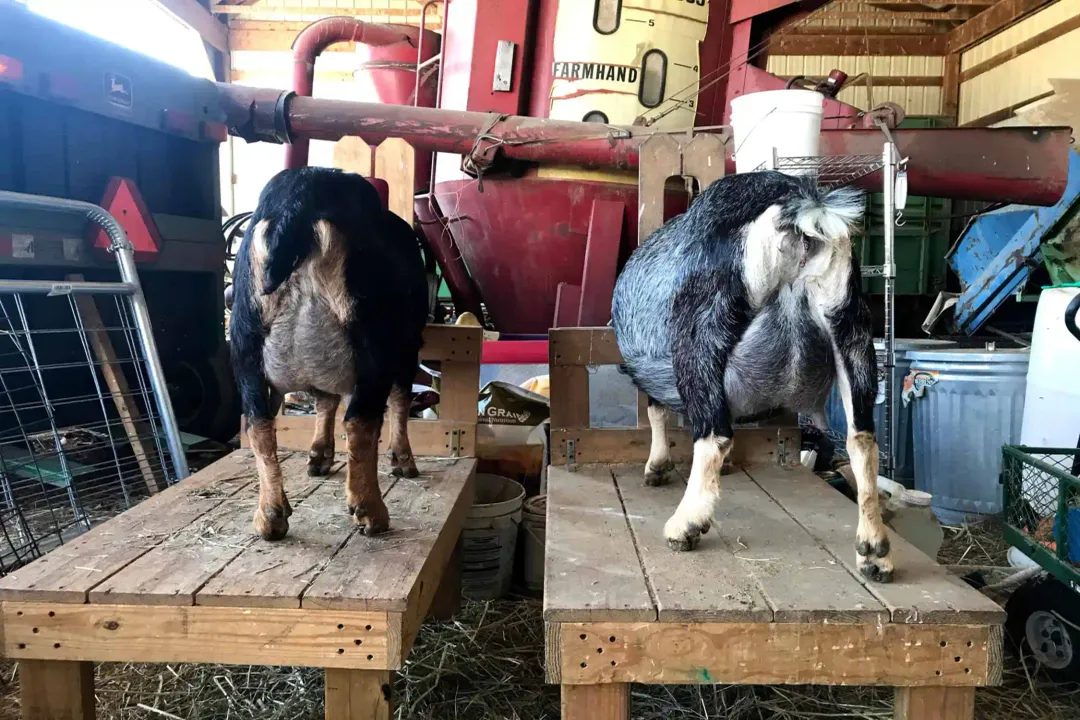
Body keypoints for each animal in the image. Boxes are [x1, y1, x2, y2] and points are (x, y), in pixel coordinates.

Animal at [229, 167, 429, 541]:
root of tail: (301, 198)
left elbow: (324, 401)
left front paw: (320, 455)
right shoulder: (407, 347)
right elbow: (399, 401)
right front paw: (402, 460)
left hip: (244, 344)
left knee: (259, 424)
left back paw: (271, 516)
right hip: (376, 341)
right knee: (362, 420)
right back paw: (371, 511)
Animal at [611, 170, 893, 583]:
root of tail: (796, 207)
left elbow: (655, 410)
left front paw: (657, 467)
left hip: (702, 331)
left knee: (714, 434)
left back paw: (685, 526)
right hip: (849, 325)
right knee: (862, 438)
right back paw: (874, 551)